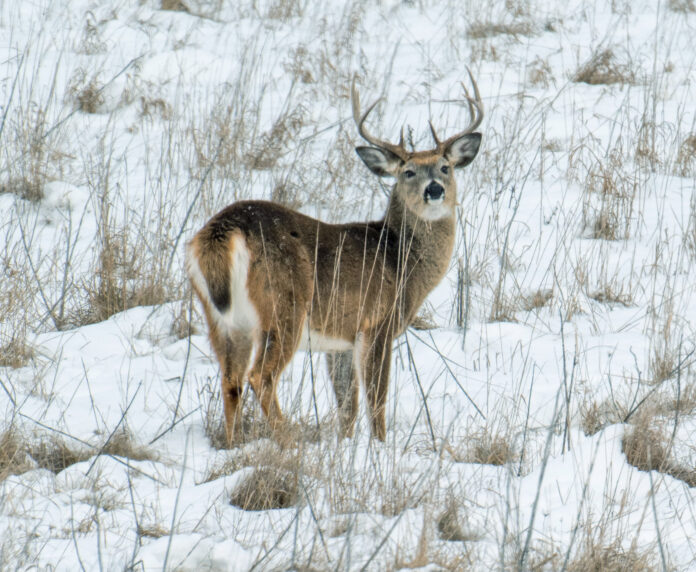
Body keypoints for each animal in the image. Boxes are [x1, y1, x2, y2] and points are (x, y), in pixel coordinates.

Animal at [186, 71, 483, 445]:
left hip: (221, 318)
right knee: (260, 377)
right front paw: (379, 447)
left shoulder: (339, 341)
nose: (434, 190)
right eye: (408, 172)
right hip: (285, 305)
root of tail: (222, 229)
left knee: (230, 381)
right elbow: (376, 400)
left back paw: (233, 444)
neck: (399, 259)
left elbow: (347, 407)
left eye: (445, 167)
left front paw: (346, 445)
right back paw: (288, 439)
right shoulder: (378, 322)